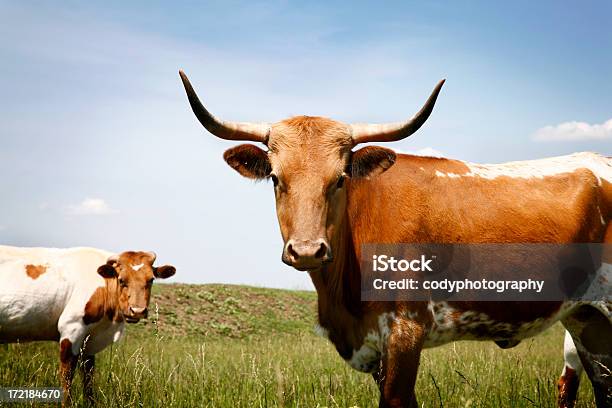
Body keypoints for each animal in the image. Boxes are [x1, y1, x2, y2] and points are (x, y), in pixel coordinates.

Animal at [0, 245, 177, 404]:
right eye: (121, 280)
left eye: (151, 279)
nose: (138, 310)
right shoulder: (71, 329)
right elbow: (67, 376)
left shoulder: (90, 340)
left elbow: (88, 377)